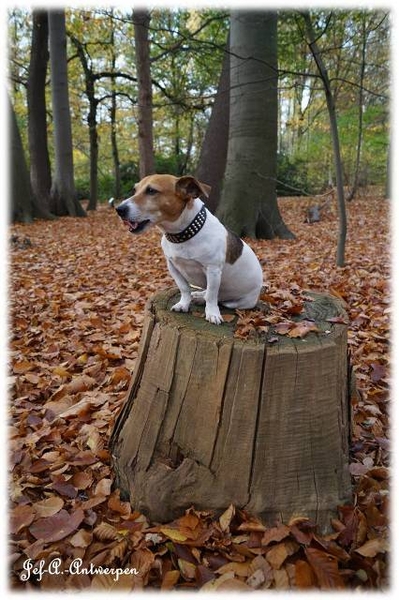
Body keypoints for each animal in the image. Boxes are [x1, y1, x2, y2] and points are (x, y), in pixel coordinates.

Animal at [115, 173, 266, 324]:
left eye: (151, 191)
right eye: (135, 190)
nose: (119, 209)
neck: (183, 235)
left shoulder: (213, 270)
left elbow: (211, 296)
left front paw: (212, 313)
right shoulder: (173, 267)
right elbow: (184, 289)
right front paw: (183, 304)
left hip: (239, 302)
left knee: (220, 298)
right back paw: (199, 295)